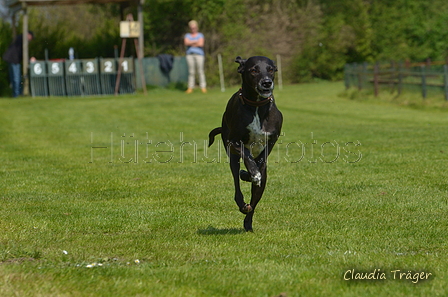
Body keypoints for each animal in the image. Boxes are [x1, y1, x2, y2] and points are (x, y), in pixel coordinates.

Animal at [209, 56, 284, 231]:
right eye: (254, 70)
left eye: (271, 69)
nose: (267, 82)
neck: (256, 105)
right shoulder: (233, 141)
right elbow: (247, 154)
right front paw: (252, 172)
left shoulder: (272, 140)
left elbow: (260, 161)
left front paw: (251, 173)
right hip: (232, 157)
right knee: (237, 183)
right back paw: (243, 203)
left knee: (255, 197)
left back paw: (248, 221)